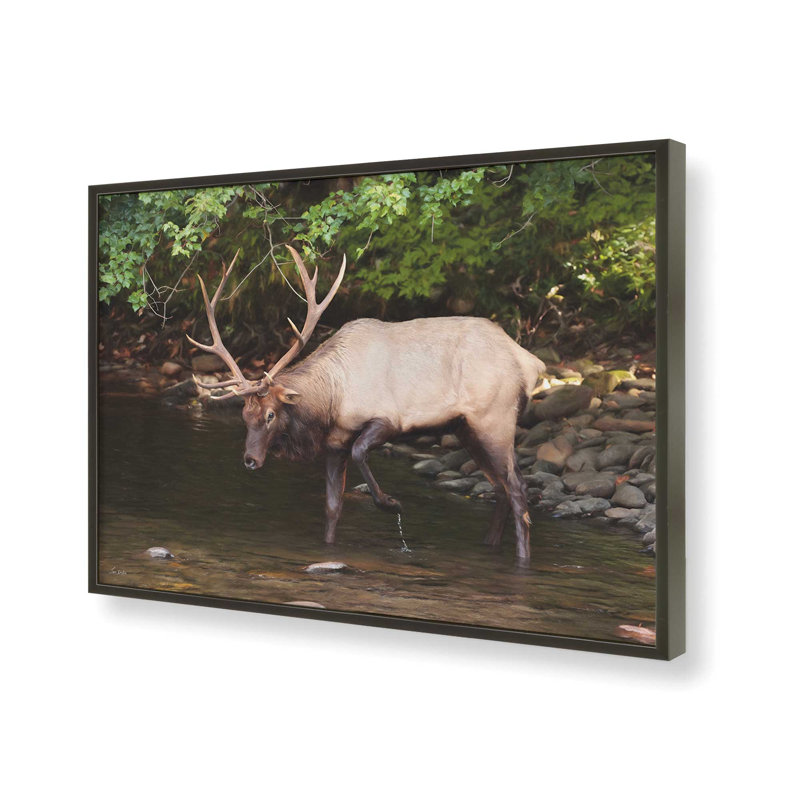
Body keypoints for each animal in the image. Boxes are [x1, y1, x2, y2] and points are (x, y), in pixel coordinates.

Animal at [187, 246, 545, 564]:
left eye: (271, 414)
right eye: (245, 416)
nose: (250, 460)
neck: (331, 401)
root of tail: (531, 362)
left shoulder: (388, 419)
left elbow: (361, 452)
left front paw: (392, 504)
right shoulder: (334, 443)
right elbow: (332, 506)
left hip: (494, 418)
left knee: (517, 486)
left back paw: (523, 558)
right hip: (465, 428)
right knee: (499, 488)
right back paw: (489, 546)